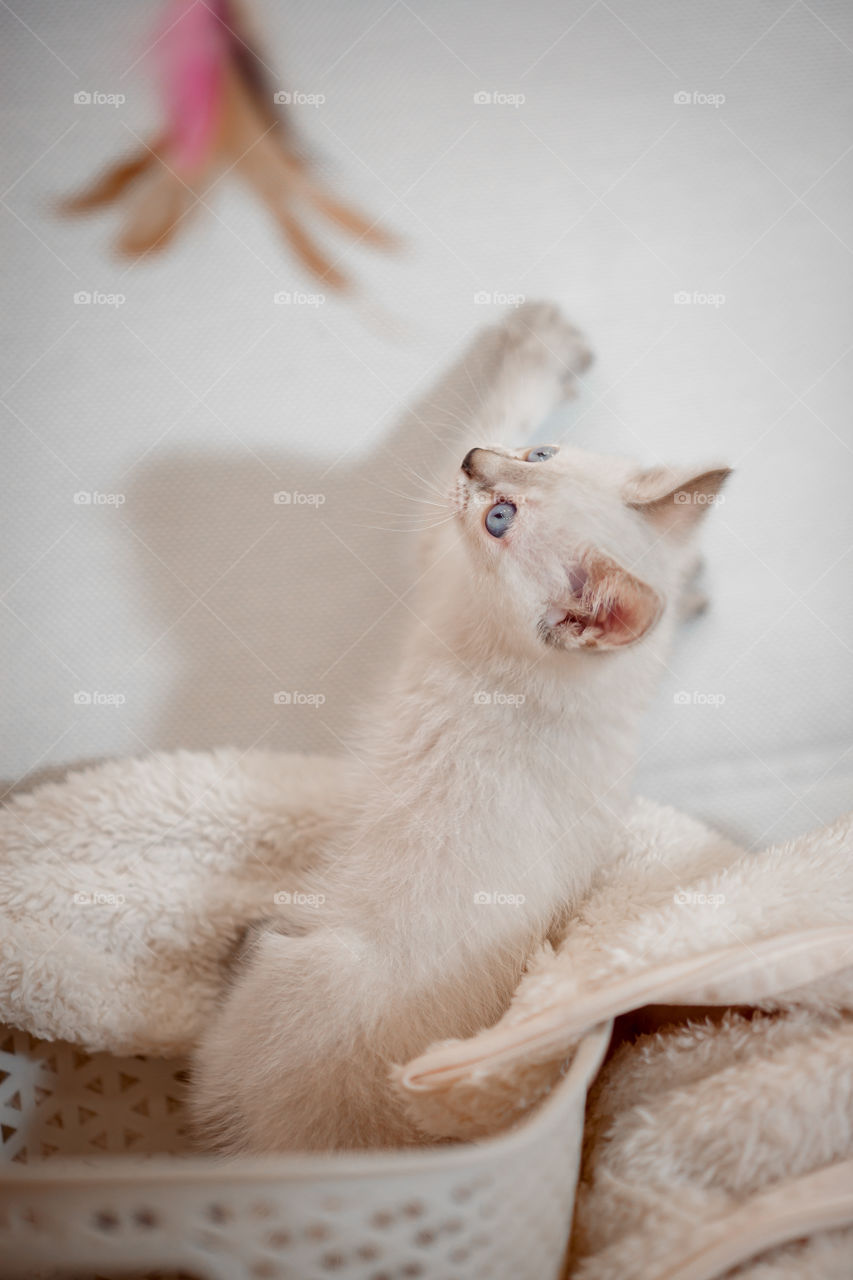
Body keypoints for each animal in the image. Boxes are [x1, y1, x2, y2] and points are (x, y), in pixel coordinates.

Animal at [190, 304, 722, 1157]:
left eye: (499, 520)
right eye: (540, 454)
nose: (476, 464)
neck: (576, 681)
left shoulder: (437, 550)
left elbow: (492, 408)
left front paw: (535, 344)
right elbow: (670, 589)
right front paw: (693, 576)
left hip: (289, 977)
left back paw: (239, 942)